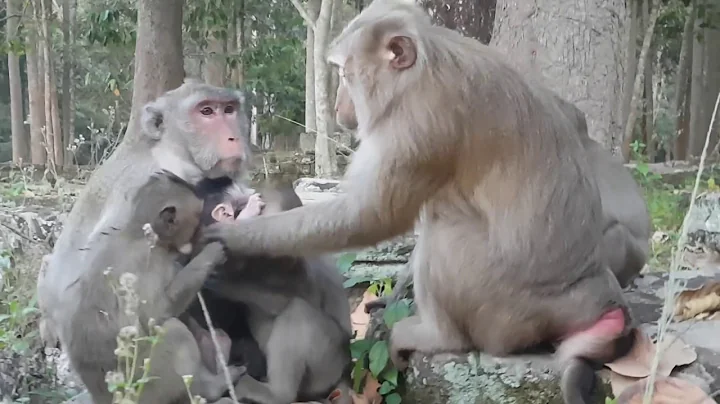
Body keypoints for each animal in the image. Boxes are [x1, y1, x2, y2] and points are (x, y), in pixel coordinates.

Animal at [59, 171, 245, 404]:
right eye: (195, 218)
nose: (196, 235)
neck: (137, 232)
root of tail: (106, 396)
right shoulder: (151, 260)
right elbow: (157, 312)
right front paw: (209, 254)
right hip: (146, 381)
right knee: (174, 331)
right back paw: (211, 386)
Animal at [204, 1, 640, 402]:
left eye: (345, 74)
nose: (342, 106)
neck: (422, 69)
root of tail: (595, 297)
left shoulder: (419, 121)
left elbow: (370, 216)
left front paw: (234, 238)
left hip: (506, 308)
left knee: (448, 229)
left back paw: (441, 336)